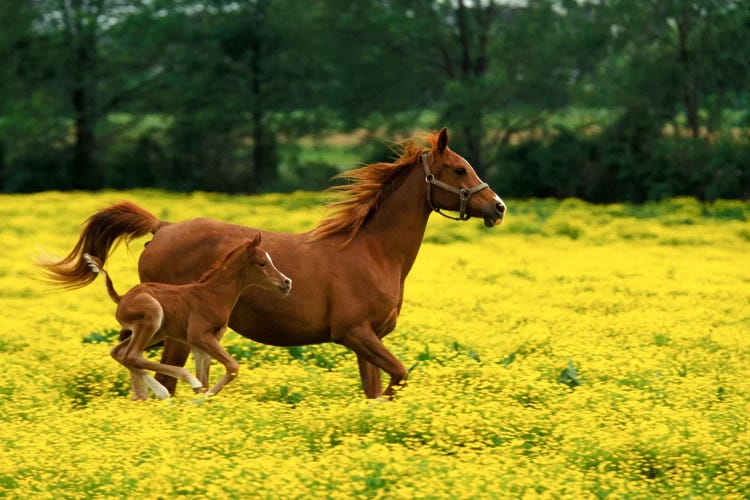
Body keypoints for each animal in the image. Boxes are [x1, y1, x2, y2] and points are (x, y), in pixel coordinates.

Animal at [84, 235, 290, 402]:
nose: (287, 282)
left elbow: (206, 376)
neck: (213, 295)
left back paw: (146, 394)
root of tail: (121, 298)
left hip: (155, 332)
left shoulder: (204, 342)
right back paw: (174, 386)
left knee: (120, 353)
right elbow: (232, 366)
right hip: (153, 317)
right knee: (131, 355)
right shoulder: (197, 335)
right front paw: (200, 398)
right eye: (262, 263)